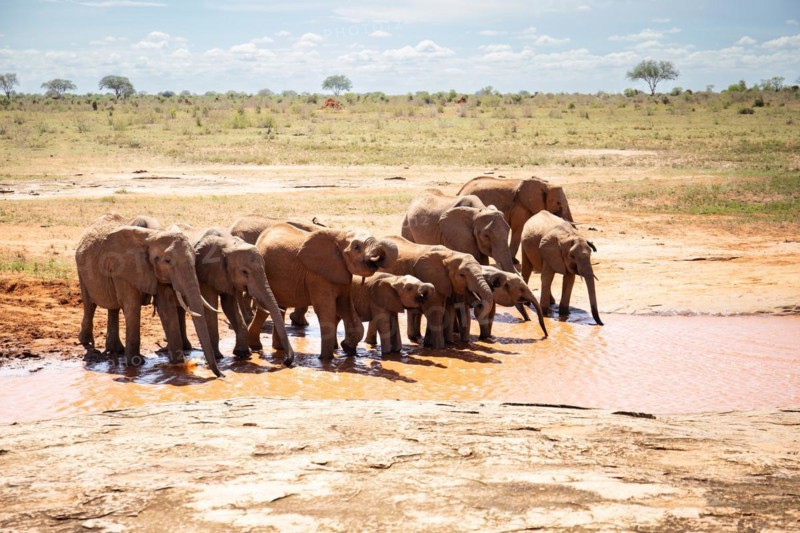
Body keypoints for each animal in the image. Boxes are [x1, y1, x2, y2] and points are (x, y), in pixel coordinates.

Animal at [75, 213, 223, 377]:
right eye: (167, 261)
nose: (222, 375)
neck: (152, 237)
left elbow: (166, 308)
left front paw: (178, 366)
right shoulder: (123, 269)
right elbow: (132, 306)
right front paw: (135, 364)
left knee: (113, 307)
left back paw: (116, 349)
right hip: (82, 270)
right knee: (90, 304)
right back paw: (87, 342)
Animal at [247, 224, 398, 360]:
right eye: (356, 247)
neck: (340, 235)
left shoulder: (342, 274)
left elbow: (346, 306)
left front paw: (347, 348)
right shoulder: (317, 275)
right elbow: (327, 310)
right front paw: (326, 359)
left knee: (276, 308)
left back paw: (276, 349)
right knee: (265, 310)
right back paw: (258, 347)